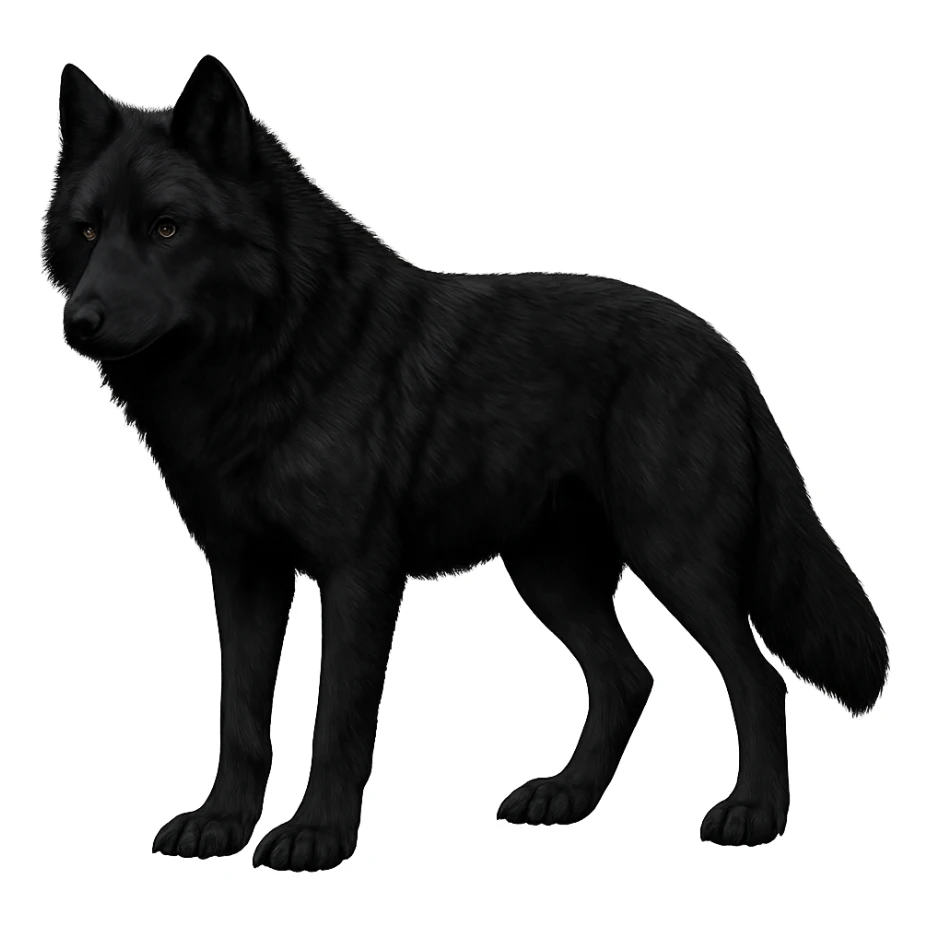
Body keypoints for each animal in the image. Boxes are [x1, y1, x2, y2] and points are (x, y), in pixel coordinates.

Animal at [43, 55, 889, 871]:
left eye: (166, 227)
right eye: (86, 232)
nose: (79, 323)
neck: (264, 359)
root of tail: (728, 353)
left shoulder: (357, 577)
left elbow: (335, 720)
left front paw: (317, 838)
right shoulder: (245, 573)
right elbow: (239, 716)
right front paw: (221, 825)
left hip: (673, 559)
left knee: (756, 680)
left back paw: (755, 816)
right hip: (550, 574)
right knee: (627, 679)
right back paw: (566, 798)